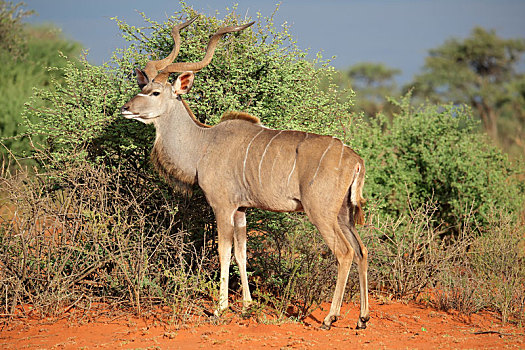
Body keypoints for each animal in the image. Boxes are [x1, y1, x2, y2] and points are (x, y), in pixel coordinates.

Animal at [121, 17, 370, 330]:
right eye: (141, 87)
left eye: (155, 93)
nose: (125, 108)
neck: (203, 144)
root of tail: (355, 159)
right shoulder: (241, 209)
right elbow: (241, 251)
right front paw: (247, 306)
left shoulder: (222, 205)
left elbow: (223, 251)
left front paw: (221, 308)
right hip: (343, 214)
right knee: (361, 251)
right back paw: (362, 318)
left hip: (321, 212)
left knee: (344, 252)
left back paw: (329, 317)